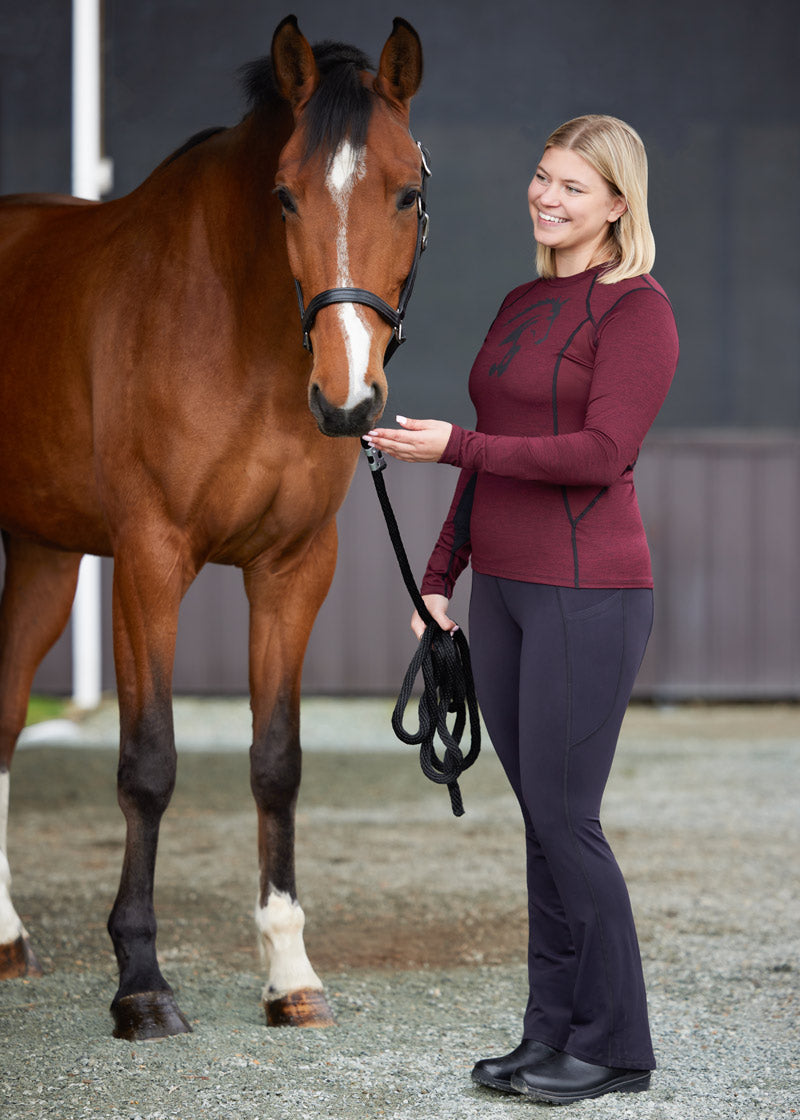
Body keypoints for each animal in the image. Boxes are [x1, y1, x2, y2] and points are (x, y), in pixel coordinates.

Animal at [0, 13, 423, 1039]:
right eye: (284, 194)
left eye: (408, 192)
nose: (347, 400)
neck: (234, 326)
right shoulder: (151, 560)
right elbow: (148, 764)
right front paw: (142, 986)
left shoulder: (294, 568)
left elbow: (277, 762)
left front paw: (290, 972)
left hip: (42, 556)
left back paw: (7, 939)